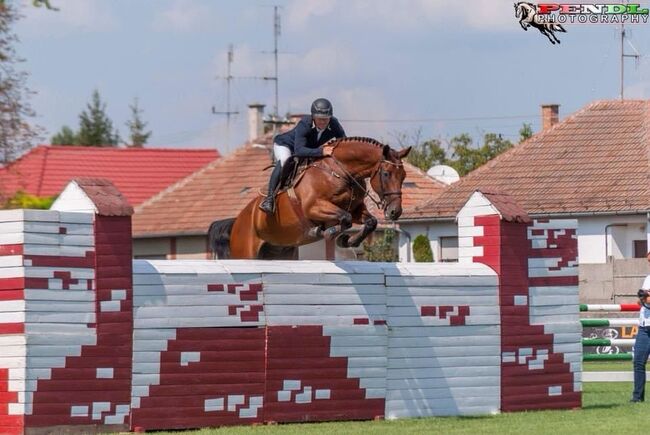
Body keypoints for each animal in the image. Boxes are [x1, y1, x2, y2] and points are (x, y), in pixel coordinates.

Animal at [208, 136, 410, 258]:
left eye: (404, 176)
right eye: (386, 174)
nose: (395, 212)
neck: (340, 171)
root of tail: (236, 221)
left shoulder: (355, 209)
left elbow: (370, 222)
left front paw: (348, 241)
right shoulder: (314, 207)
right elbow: (344, 219)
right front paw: (327, 232)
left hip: (281, 252)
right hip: (245, 252)